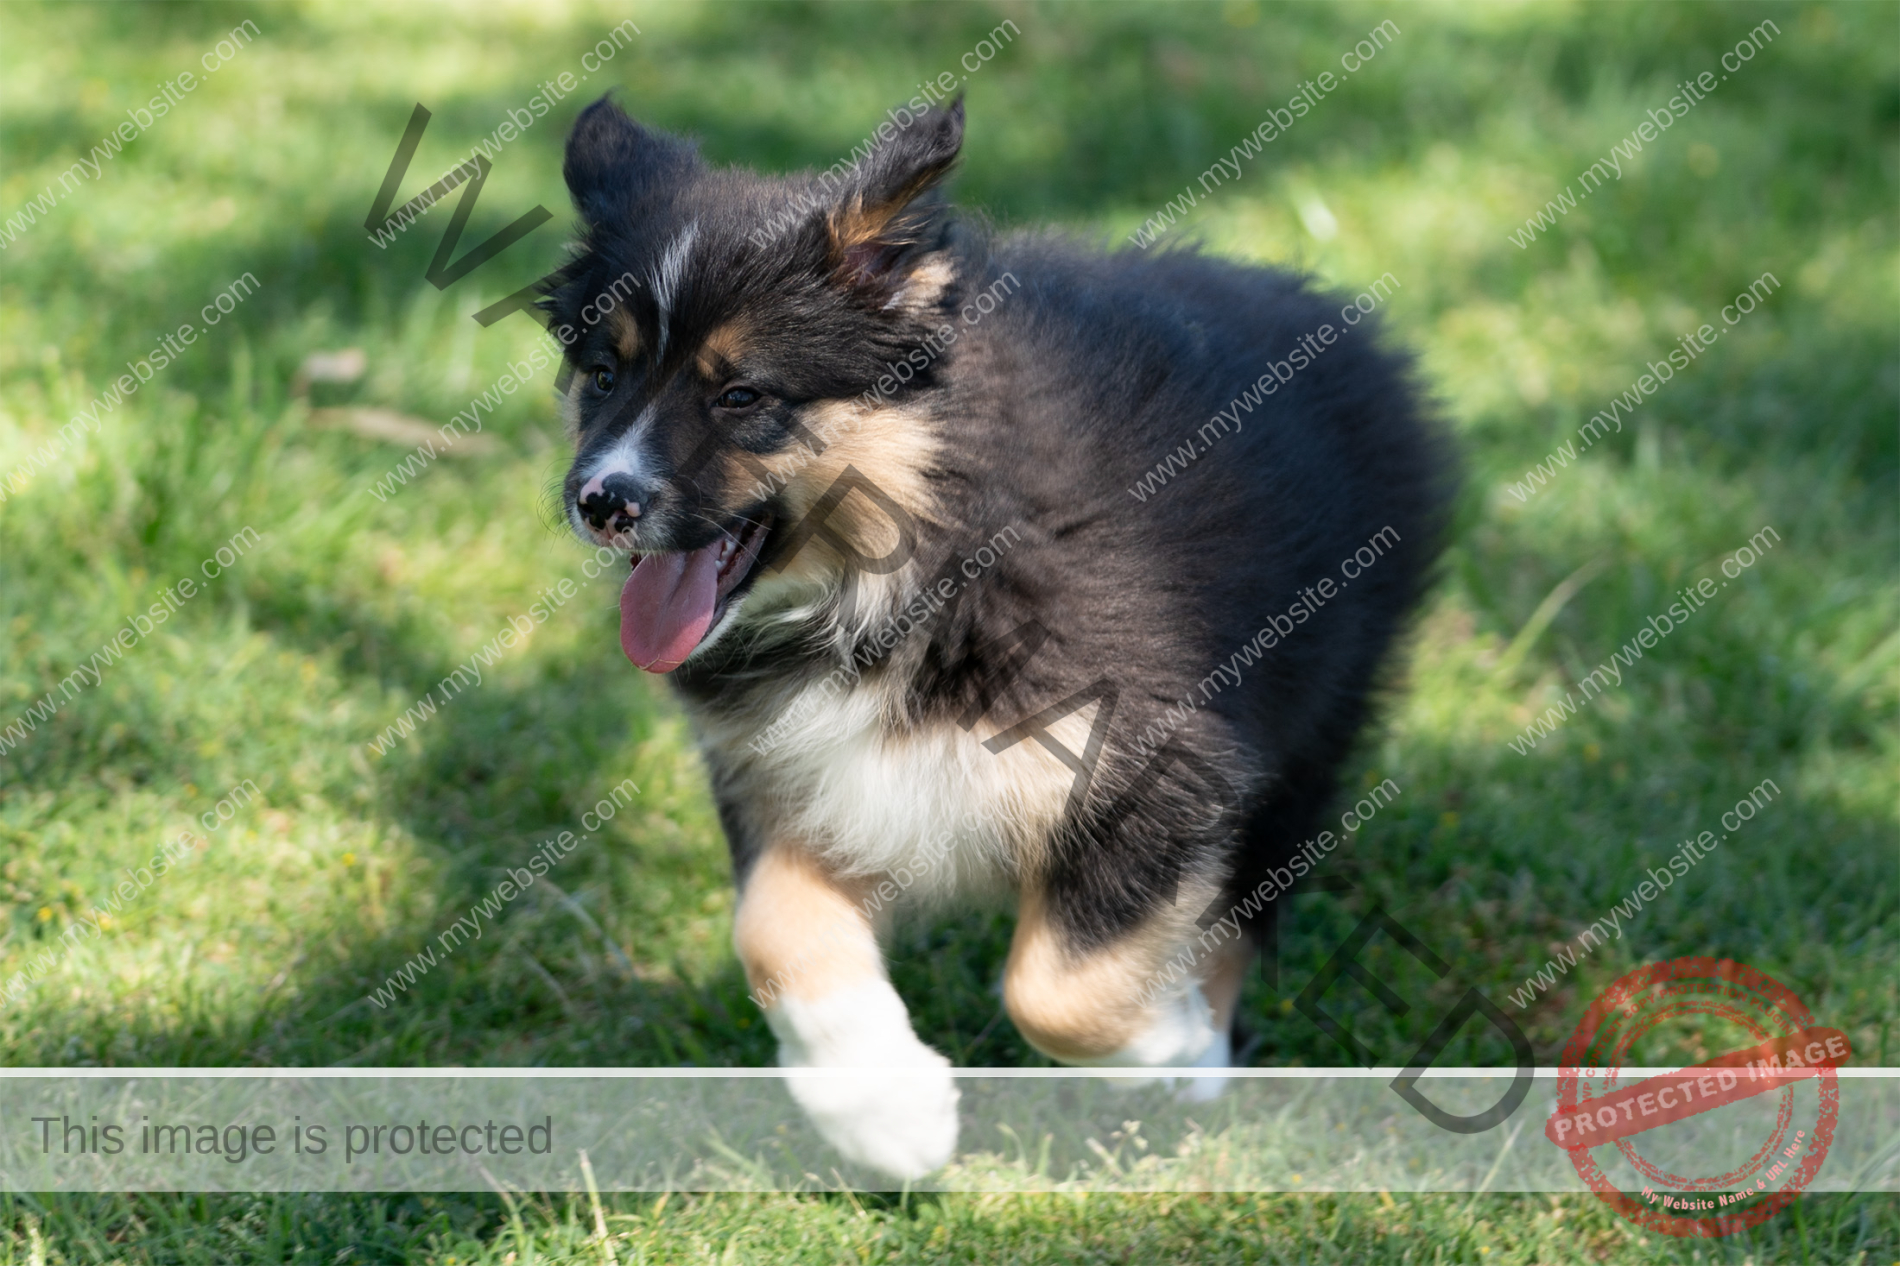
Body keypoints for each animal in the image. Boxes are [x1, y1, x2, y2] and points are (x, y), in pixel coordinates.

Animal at [543, 95, 1444, 1170]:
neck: (900, 572)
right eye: (603, 374)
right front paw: (885, 1111)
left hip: (1313, 713)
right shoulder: (783, 763)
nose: (600, 501)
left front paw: (1167, 1040)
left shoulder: (1152, 753)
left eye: (742, 395)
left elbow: (1054, 988)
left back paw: (1203, 1060)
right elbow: (771, 929)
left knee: (1248, 895)